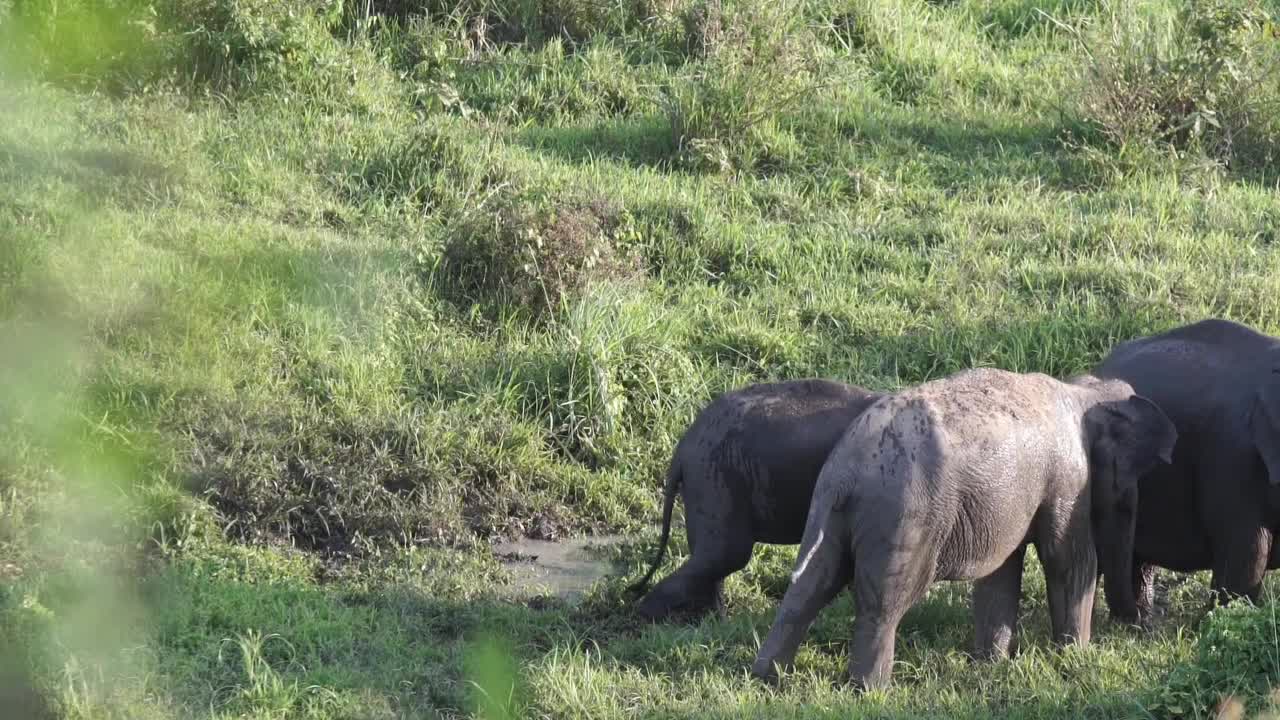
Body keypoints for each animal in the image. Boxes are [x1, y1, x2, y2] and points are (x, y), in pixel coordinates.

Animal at [627, 379, 885, 620]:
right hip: (716, 481)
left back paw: (716, 620)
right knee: (725, 556)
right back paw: (652, 615)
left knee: (712, 560)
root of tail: (680, 452)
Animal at [747, 366, 1177, 686]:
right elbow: (1069, 561)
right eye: (1126, 496)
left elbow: (1002, 571)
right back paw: (872, 692)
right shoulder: (1068, 479)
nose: (1140, 623)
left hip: (832, 511)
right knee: (885, 602)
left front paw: (991, 665)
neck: (1080, 390)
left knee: (809, 587)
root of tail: (846, 472)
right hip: (906, 517)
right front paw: (1074, 659)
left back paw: (767, 678)